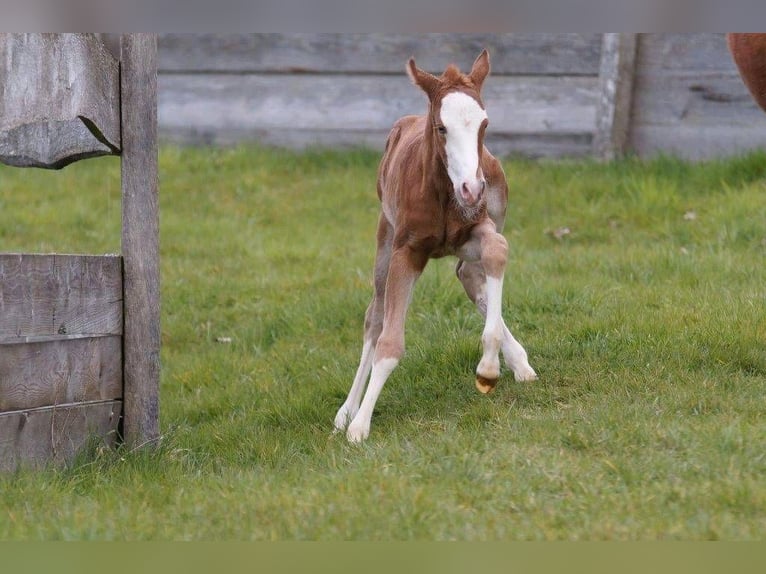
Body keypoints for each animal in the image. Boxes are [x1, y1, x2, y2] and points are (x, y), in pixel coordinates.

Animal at [332, 50, 536, 446]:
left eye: (484, 125)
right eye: (442, 128)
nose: (472, 188)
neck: (444, 193)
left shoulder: (477, 226)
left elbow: (498, 251)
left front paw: (489, 368)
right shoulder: (406, 250)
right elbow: (388, 340)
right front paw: (359, 425)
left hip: (485, 218)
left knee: (470, 275)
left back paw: (518, 362)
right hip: (385, 234)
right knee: (375, 314)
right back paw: (346, 410)